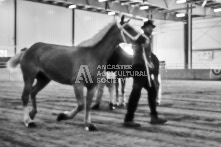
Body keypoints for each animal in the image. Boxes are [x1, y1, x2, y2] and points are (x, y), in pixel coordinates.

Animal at [6, 15, 148, 131]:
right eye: (128, 28)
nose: (145, 39)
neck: (92, 56)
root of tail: (27, 50)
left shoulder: (92, 86)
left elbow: (88, 105)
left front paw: (88, 124)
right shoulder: (77, 84)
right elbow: (81, 105)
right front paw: (62, 116)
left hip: (44, 79)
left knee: (33, 93)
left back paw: (32, 114)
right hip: (29, 77)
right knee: (25, 96)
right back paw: (28, 121)